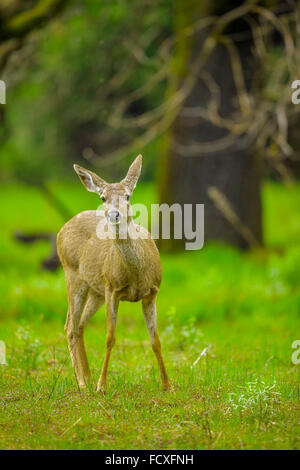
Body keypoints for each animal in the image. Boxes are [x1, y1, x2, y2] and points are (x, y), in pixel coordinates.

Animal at [56, 154, 171, 392]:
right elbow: (110, 338)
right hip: (72, 275)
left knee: (79, 324)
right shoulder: (112, 289)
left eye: (128, 195)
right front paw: (102, 386)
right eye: (103, 197)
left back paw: (87, 377)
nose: (114, 214)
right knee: (70, 326)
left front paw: (167, 385)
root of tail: (62, 229)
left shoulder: (152, 293)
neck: (136, 274)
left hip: (95, 290)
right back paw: (83, 382)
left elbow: (155, 340)